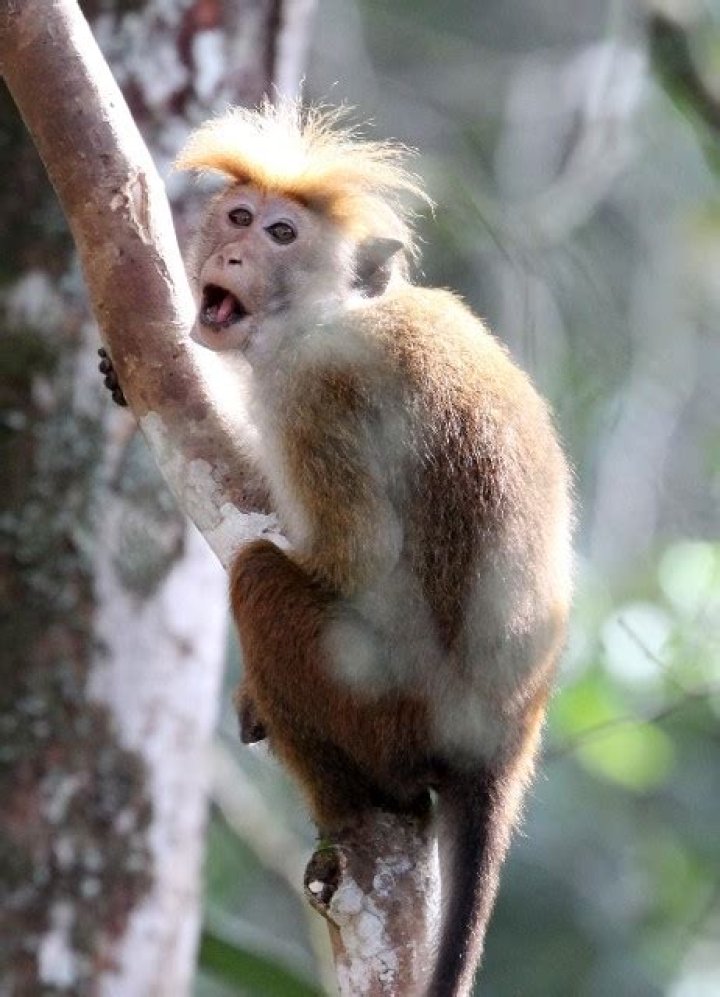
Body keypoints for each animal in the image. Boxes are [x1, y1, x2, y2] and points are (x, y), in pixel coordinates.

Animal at [101, 100, 572, 996]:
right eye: (239, 217)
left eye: (282, 233)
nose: (233, 252)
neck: (338, 312)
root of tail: (503, 743)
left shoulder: (321, 395)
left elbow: (346, 560)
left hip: (388, 716)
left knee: (259, 578)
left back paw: (352, 803)